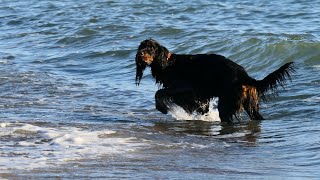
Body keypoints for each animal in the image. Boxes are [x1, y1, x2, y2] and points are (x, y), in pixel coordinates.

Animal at [134, 38, 294, 123]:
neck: (167, 64)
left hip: (226, 104)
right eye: (141, 46)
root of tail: (245, 76)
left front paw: (162, 108)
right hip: (250, 105)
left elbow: (159, 93)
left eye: (151, 48)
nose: (140, 53)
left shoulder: (187, 88)